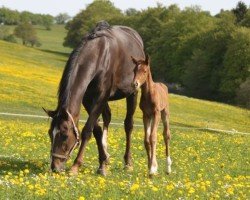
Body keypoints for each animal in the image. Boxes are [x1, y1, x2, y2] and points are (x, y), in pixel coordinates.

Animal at [43, 21, 145, 175]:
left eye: (65, 135)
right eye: (50, 133)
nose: (55, 167)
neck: (99, 55)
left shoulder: (100, 97)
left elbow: (87, 130)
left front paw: (75, 166)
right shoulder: (88, 99)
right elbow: (96, 129)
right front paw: (102, 163)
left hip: (132, 93)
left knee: (128, 125)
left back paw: (128, 163)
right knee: (107, 117)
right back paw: (107, 156)